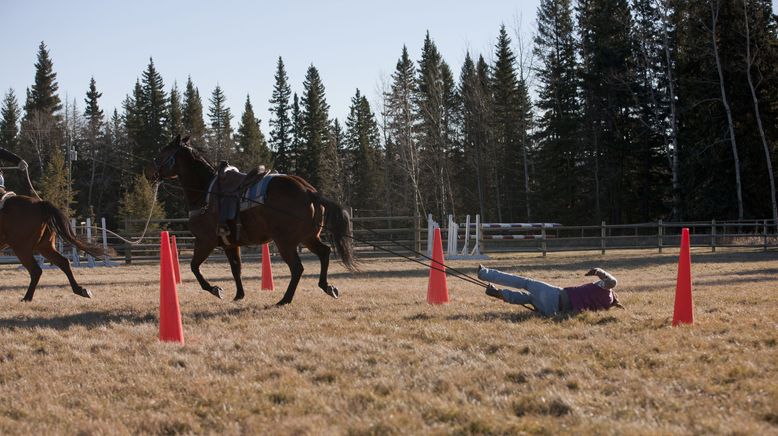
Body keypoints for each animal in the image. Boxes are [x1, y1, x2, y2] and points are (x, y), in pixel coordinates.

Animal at [144, 135, 356, 304]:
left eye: (162, 153)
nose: (147, 172)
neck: (205, 192)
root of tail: (308, 192)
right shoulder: (230, 244)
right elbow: (236, 269)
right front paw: (239, 295)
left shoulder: (205, 241)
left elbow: (194, 267)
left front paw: (215, 289)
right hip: (308, 237)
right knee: (325, 252)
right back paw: (327, 286)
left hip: (286, 242)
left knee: (297, 268)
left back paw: (285, 299)